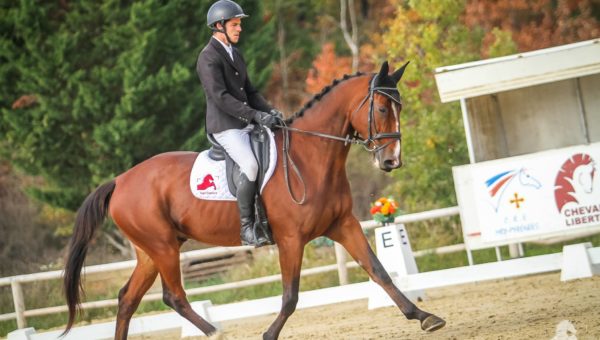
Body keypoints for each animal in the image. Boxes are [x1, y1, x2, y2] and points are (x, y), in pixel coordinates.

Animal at [63, 60, 446, 338]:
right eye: (381, 109)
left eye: (399, 107)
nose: (391, 161)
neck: (310, 156)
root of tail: (120, 181)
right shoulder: (291, 239)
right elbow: (290, 296)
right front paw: (268, 334)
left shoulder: (342, 225)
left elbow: (380, 272)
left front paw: (423, 316)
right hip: (163, 247)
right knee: (174, 296)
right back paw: (216, 333)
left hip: (150, 252)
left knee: (127, 299)